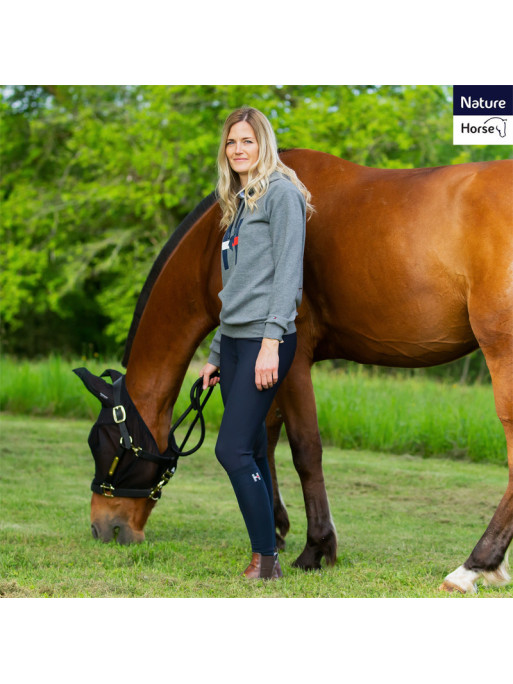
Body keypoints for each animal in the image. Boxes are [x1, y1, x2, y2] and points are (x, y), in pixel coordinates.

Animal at [76, 148, 512, 592]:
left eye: (104, 445)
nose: (103, 528)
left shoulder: (293, 355)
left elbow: (305, 448)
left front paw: (316, 548)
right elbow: (263, 438)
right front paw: (276, 527)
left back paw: (474, 566)